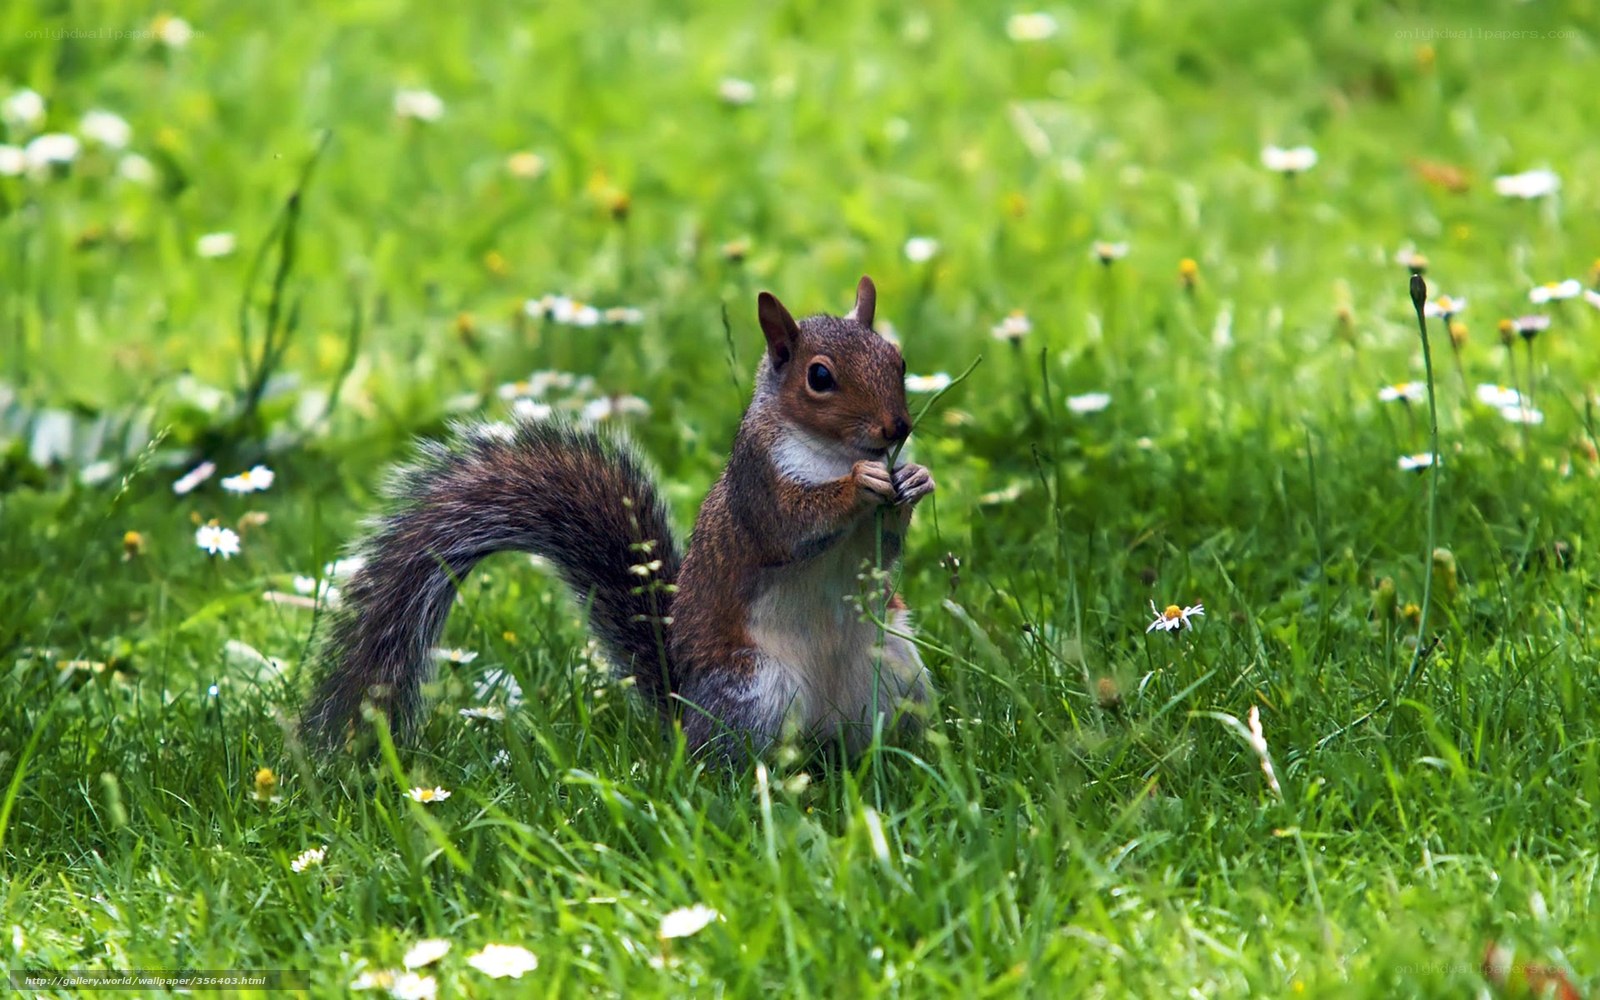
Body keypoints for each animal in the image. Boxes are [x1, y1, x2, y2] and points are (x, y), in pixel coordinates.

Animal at [302, 276, 935, 758]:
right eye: (819, 377)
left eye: (899, 359)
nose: (897, 428)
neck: (833, 452)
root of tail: (683, 709)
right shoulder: (757, 486)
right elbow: (791, 525)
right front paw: (861, 485)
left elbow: (884, 551)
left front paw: (915, 480)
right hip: (754, 692)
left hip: (896, 671)